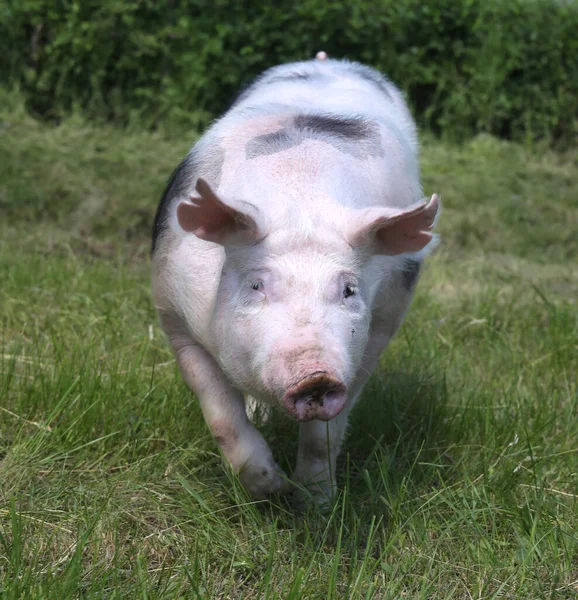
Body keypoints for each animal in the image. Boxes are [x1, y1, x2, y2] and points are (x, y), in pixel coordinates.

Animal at [151, 56, 438, 504]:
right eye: (256, 285)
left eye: (349, 289)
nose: (316, 372)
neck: (301, 198)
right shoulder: (174, 315)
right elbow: (222, 416)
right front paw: (270, 490)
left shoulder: (375, 336)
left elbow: (325, 435)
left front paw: (313, 502)